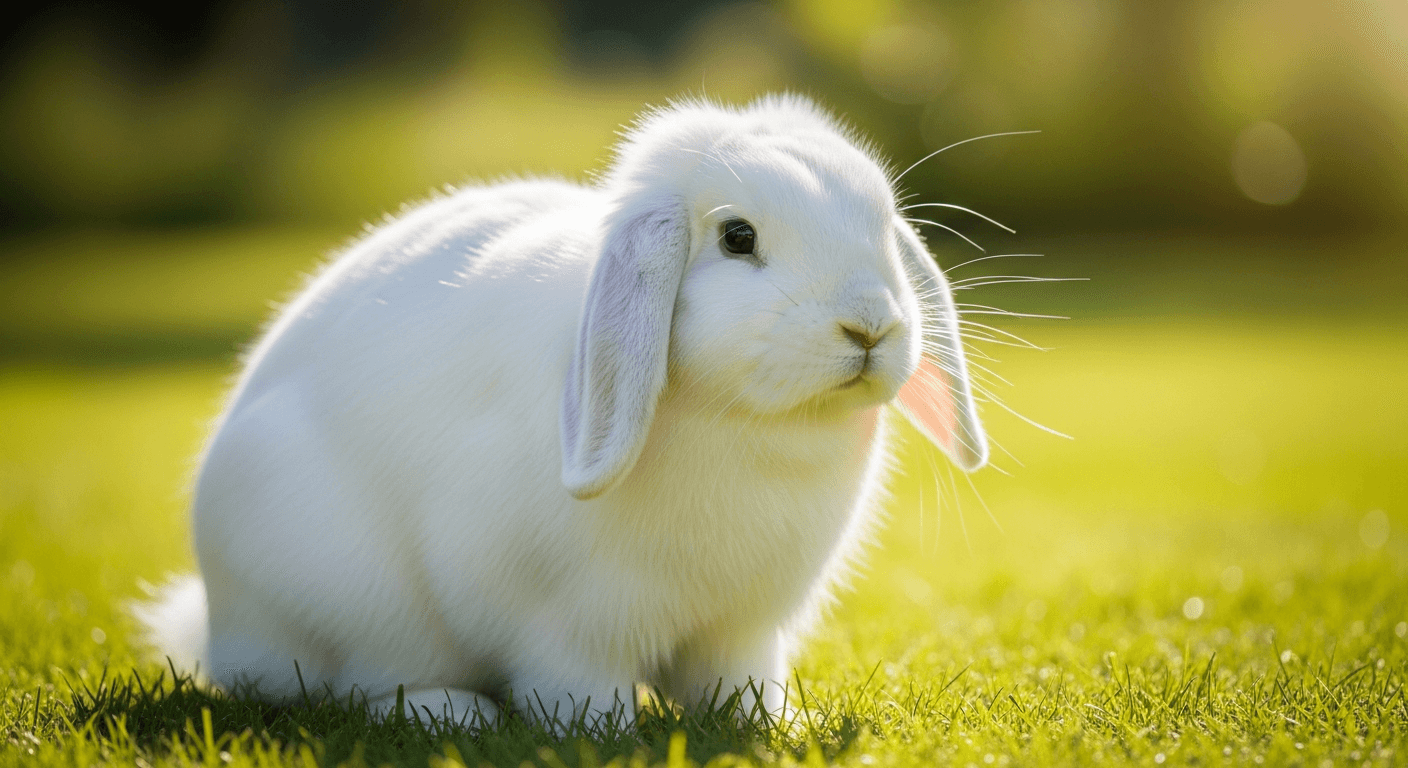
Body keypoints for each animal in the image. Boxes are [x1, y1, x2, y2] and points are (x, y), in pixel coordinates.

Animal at [135, 93, 987, 729]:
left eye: (883, 230)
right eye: (738, 237)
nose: (870, 324)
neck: (754, 427)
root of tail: (218, 626)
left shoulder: (743, 631)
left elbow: (737, 689)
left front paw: (767, 725)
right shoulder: (565, 626)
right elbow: (577, 693)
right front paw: (600, 734)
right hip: (344, 603)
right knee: (350, 687)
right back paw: (452, 713)